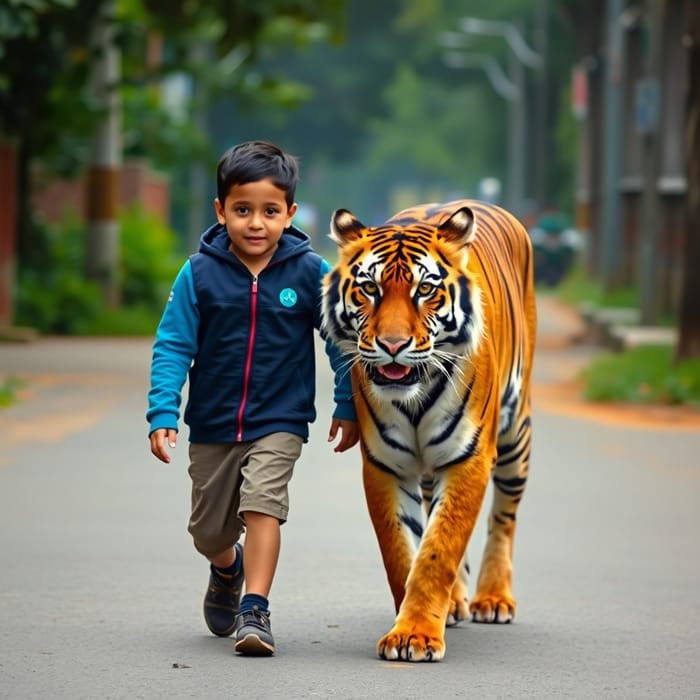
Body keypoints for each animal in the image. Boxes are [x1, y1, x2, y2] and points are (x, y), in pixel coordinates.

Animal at [322, 198, 536, 660]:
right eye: (370, 289)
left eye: (424, 290)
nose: (392, 345)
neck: (414, 399)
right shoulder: (385, 465)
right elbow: (402, 552)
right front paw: (409, 626)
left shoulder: (469, 458)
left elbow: (439, 549)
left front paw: (416, 634)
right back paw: (456, 603)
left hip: (516, 434)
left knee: (504, 515)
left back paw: (494, 600)